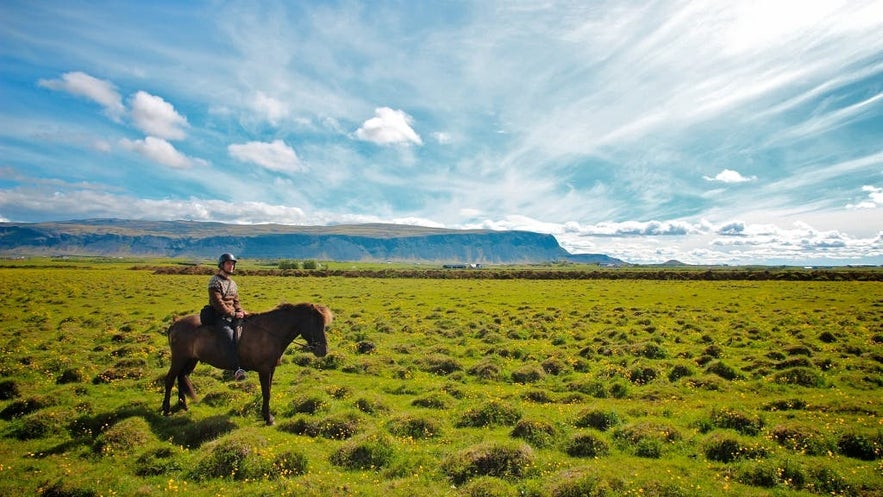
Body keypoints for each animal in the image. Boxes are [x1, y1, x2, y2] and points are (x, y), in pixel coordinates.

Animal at [161, 300, 332, 424]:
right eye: (316, 324)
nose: (323, 350)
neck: (269, 332)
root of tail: (175, 324)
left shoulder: (271, 369)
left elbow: (268, 391)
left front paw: (266, 415)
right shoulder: (264, 370)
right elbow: (266, 392)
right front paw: (268, 418)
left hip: (190, 360)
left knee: (181, 377)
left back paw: (183, 405)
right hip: (179, 358)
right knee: (170, 379)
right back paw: (166, 409)